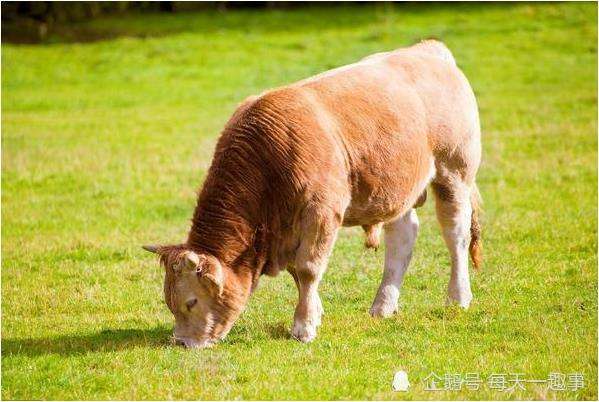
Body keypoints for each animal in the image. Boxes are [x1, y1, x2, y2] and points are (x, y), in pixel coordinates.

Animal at [144, 40, 482, 348]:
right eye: (169, 302)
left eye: (191, 302)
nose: (181, 342)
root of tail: (428, 49)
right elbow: (298, 272)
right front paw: (314, 314)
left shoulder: (321, 213)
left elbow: (308, 269)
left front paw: (303, 327)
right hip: (398, 190)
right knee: (402, 237)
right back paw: (383, 306)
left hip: (454, 174)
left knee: (456, 235)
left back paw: (458, 297)